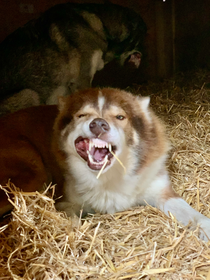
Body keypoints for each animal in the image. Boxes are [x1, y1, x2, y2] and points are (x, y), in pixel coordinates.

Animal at [0, 88, 210, 241]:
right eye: (82, 115)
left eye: (120, 117)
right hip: (34, 173)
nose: (98, 124)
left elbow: (191, 213)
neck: (107, 176)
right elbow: (72, 220)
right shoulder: (65, 202)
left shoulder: (161, 190)